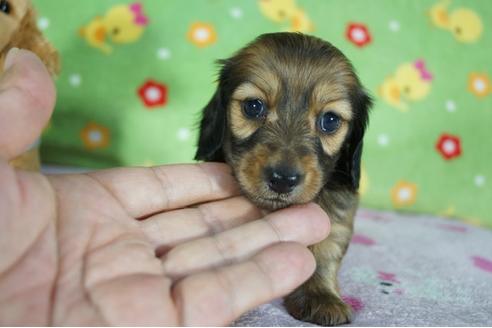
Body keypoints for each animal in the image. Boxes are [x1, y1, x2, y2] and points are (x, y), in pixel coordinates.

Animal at [194, 32, 370, 324]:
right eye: (253, 106)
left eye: (330, 120)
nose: (283, 179)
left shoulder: (339, 209)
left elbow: (325, 249)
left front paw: (320, 296)